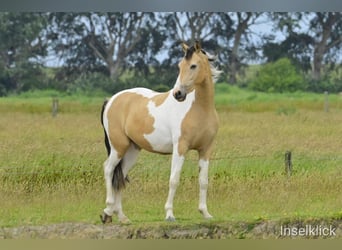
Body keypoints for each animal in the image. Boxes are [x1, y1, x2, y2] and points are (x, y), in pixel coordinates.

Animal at [99, 41, 222, 225]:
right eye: (180, 66)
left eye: (193, 65)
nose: (178, 94)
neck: (199, 109)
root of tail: (111, 100)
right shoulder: (180, 148)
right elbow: (174, 180)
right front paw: (169, 214)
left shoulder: (205, 150)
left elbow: (203, 181)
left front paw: (205, 213)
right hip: (118, 148)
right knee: (108, 169)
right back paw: (107, 211)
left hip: (131, 151)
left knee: (120, 178)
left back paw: (122, 217)